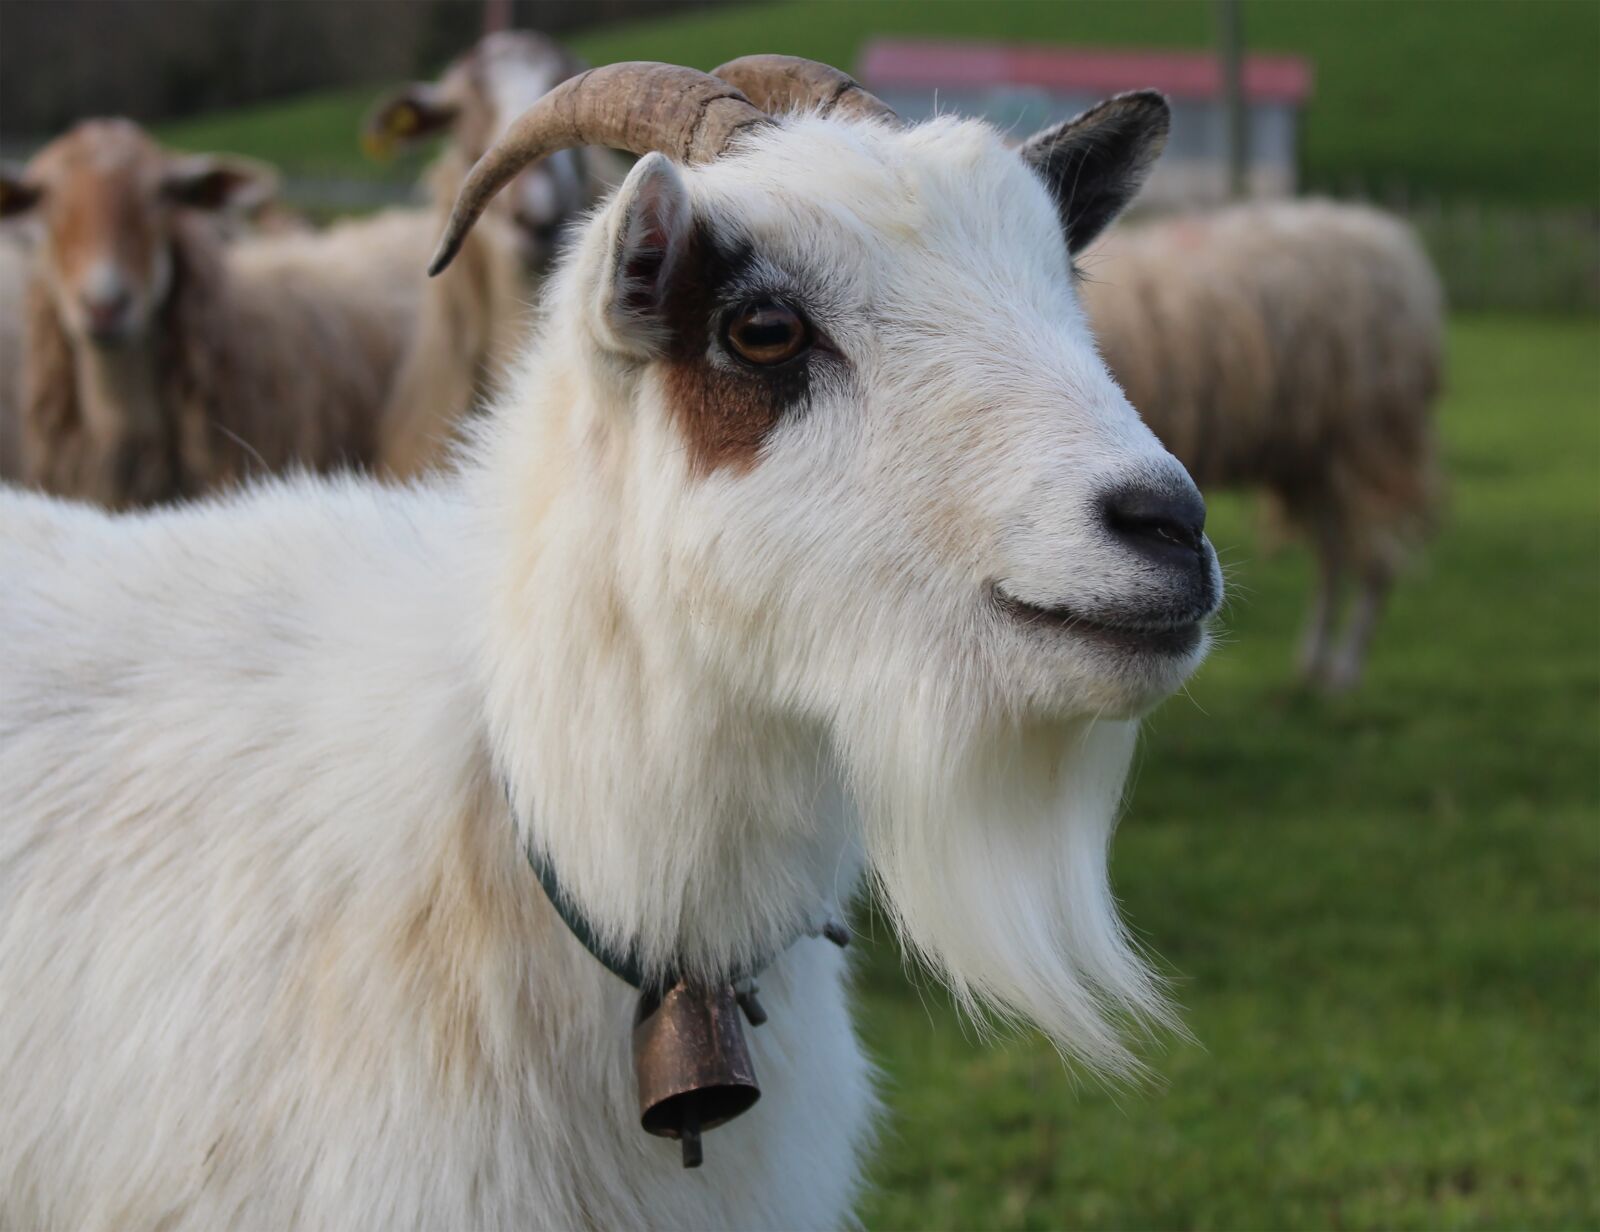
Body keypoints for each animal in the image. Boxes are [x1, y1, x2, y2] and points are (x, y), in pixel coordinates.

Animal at [1079, 199, 1444, 690]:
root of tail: (1386, 236)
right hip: (1314, 457)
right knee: (1334, 556)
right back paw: (1312, 663)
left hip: (1367, 439)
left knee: (1376, 562)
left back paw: (1343, 673)